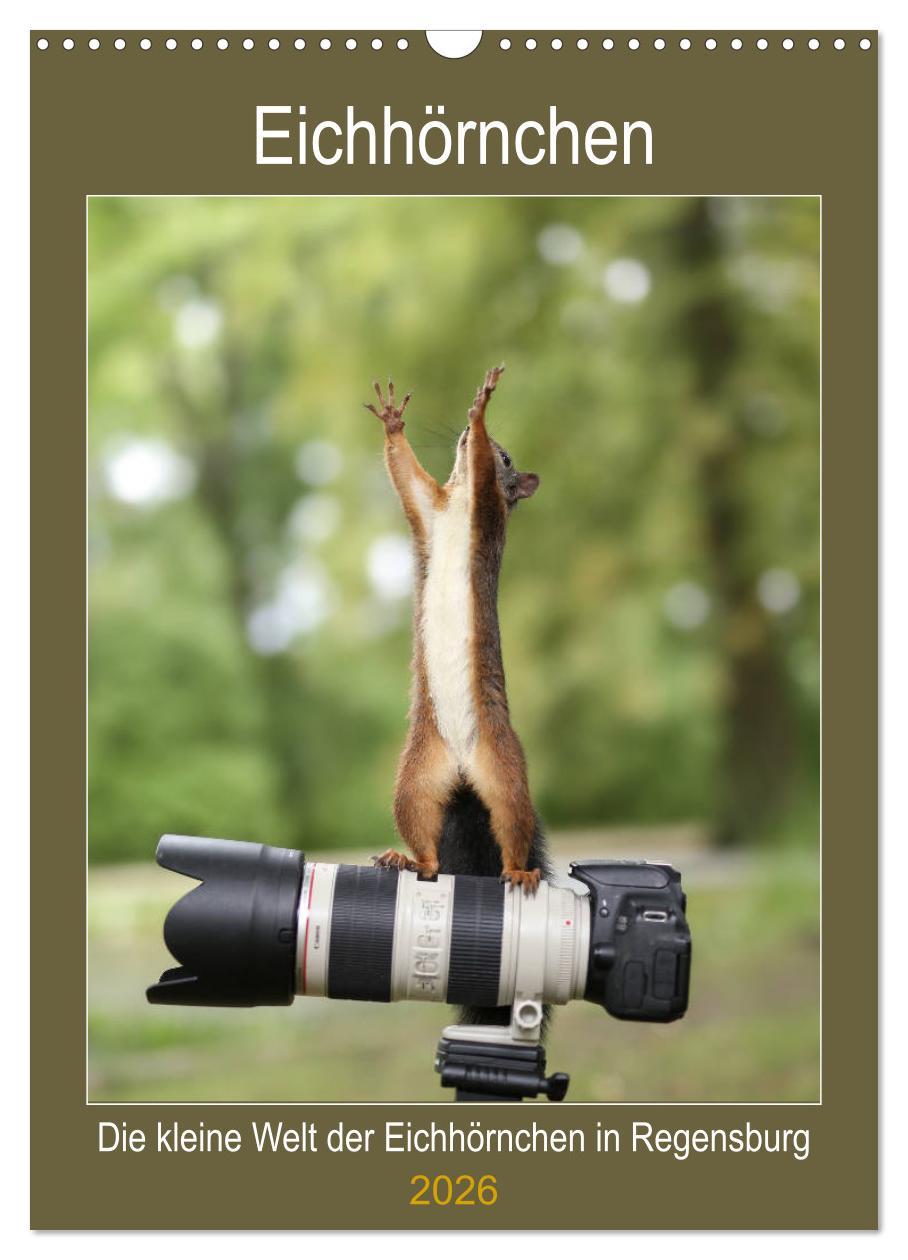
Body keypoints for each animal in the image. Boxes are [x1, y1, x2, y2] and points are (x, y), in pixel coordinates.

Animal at [365, 367, 551, 947]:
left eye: (509, 457)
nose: (468, 438)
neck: (459, 501)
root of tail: (466, 770)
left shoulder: (487, 511)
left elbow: (486, 484)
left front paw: (480, 409)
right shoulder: (428, 508)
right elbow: (405, 474)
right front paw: (394, 422)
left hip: (506, 773)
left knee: (512, 826)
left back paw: (518, 871)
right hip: (416, 781)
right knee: (427, 847)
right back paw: (407, 859)